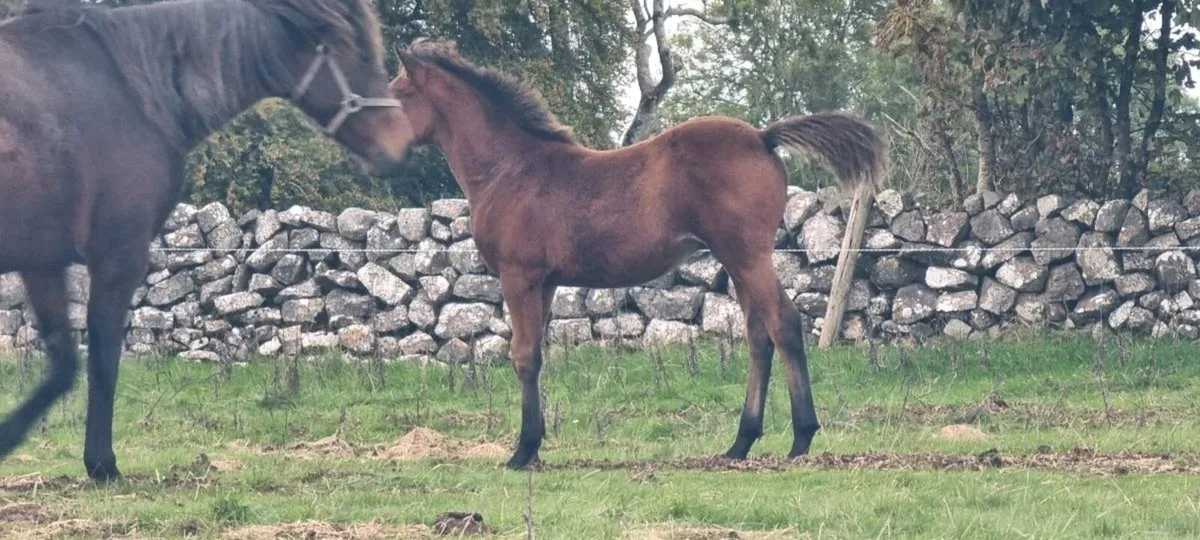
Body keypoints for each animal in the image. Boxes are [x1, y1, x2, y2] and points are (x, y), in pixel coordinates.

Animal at [0, 0, 417, 481]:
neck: (134, 94)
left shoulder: (44, 262)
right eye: (361, 52)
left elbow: (64, 366)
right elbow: (102, 360)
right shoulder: (118, 254)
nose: (402, 144)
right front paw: (102, 463)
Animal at [387, 40, 889, 470]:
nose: (382, 156)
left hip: (747, 255)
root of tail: (764, 136)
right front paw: (534, 447)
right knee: (758, 335)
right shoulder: (545, 283)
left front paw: (522, 451)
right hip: (737, 261)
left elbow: (523, 356)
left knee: (783, 323)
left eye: (397, 94)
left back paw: (801, 437)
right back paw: (740, 442)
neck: (510, 168)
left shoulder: (520, 277)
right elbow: (537, 356)